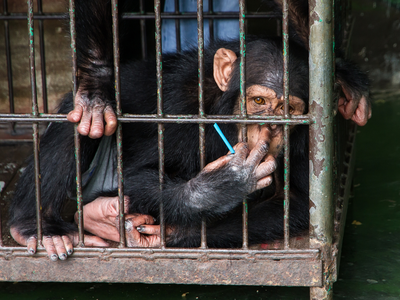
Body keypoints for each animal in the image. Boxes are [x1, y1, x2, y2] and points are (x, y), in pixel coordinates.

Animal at [9, 0, 370, 260]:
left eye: (288, 111)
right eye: (258, 101)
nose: (269, 129)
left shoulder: (310, 136)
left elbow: (297, 201)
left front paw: (174, 235)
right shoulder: (179, 104)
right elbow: (139, 173)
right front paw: (219, 187)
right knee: (84, 124)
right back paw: (36, 225)